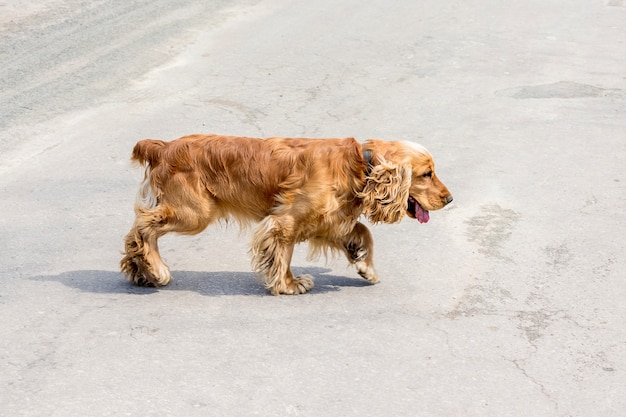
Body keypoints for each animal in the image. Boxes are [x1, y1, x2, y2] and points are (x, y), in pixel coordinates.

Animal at [118, 135, 448, 294]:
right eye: (427, 173)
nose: (450, 198)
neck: (359, 164)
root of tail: (163, 147)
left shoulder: (329, 221)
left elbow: (362, 233)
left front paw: (364, 264)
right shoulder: (285, 221)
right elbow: (283, 254)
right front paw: (288, 285)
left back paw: (140, 270)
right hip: (194, 212)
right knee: (143, 226)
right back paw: (155, 269)